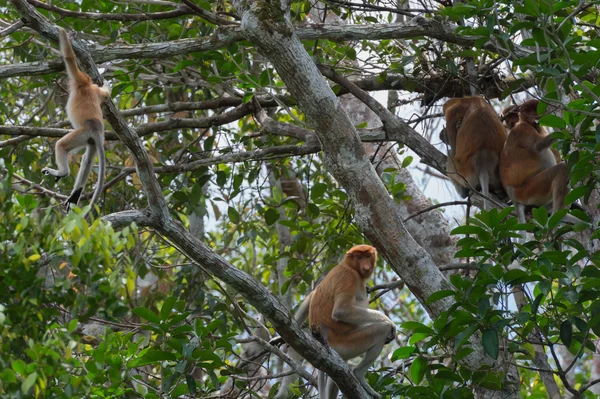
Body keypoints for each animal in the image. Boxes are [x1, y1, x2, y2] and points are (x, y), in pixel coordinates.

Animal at [43, 28, 112, 211]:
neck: (86, 86)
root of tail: (96, 128)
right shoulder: (94, 90)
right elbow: (106, 94)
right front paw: (107, 83)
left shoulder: (79, 79)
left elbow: (69, 58)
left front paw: (62, 32)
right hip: (91, 138)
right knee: (87, 159)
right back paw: (75, 195)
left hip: (82, 133)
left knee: (61, 145)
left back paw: (62, 172)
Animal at [298, 245, 396, 399]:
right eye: (359, 257)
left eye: (367, 256)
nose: (366, 266)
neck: (348, 266)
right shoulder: (347, 277)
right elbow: (341, 311)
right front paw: (389, 322)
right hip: (345, 343)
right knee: (381, 331)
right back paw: (359, 375)